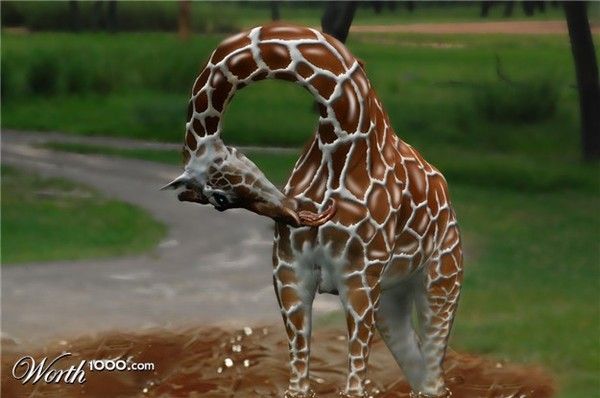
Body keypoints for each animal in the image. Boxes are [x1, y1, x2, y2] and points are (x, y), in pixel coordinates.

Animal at [164, 22, 464, 398]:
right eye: (219, 201)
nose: (295, 214)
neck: (340, 138)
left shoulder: (359, 279)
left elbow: (355, 382)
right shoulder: (290, 272)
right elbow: (298, 374)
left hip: (441, 278)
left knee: (435, 372)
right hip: (392, 295)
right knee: (419, 372)